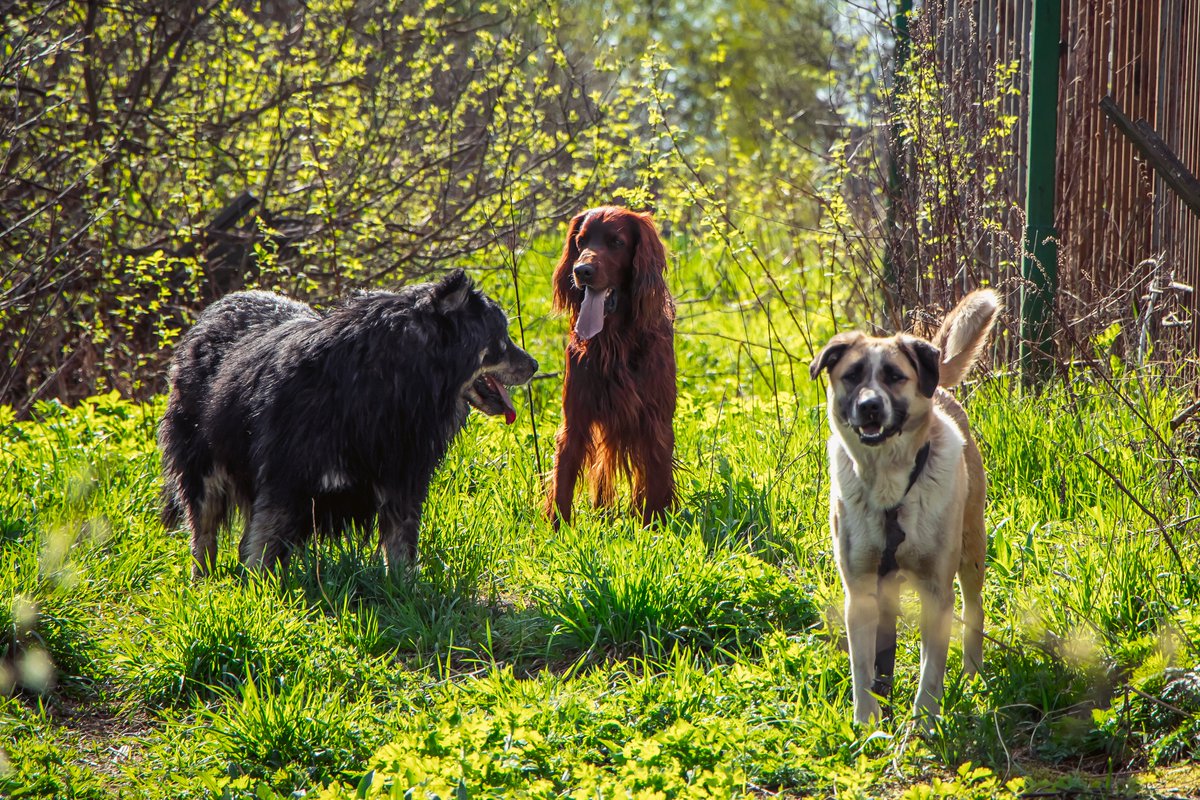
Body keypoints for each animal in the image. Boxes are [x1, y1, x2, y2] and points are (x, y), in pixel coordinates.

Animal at [159, 268, 540, 575]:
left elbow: (401, 549)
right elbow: (264, 552)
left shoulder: (403, 480)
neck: (393, 385)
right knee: (204, 534)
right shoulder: (286, 481)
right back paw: (203, 581)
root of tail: (219, 304)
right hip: (203, 467)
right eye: (501, 339)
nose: (535, 365)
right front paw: (261, 599)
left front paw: (405, 595)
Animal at [549, 206, 681, 527]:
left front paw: (653, 528)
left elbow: (655, 482)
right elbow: (563, 481)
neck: (615, 341)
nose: (581, 271)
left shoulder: (656, 423)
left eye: (617, 242)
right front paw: (557, 531)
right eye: (581, 242)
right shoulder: (575, 420)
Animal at [811, 289, 998, 724]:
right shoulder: (861, 591)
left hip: (972, 548)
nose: (869, 407)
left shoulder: (936, 591)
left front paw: (925, 725)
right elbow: (863, 669)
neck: (889, 486)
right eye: (852, 375)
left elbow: (931, 672)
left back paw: (973, 675)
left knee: (975, 610)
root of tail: (939, 385)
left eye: (895, 377)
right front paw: (868, 724)